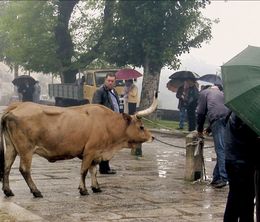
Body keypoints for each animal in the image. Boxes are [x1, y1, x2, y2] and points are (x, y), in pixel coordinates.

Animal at [0, 93, 157, 197]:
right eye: (141, 127)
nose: (153, 137)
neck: (107, 123)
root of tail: (17, 106)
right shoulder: (89, 151)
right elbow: (84, 171)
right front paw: (83, 189)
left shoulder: (96, 153)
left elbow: (93, 171)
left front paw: (96, 187)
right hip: (26, 150)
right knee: (24, 170)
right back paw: (36, 191)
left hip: (12, 148)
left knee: (6, 167)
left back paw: (8, 191)